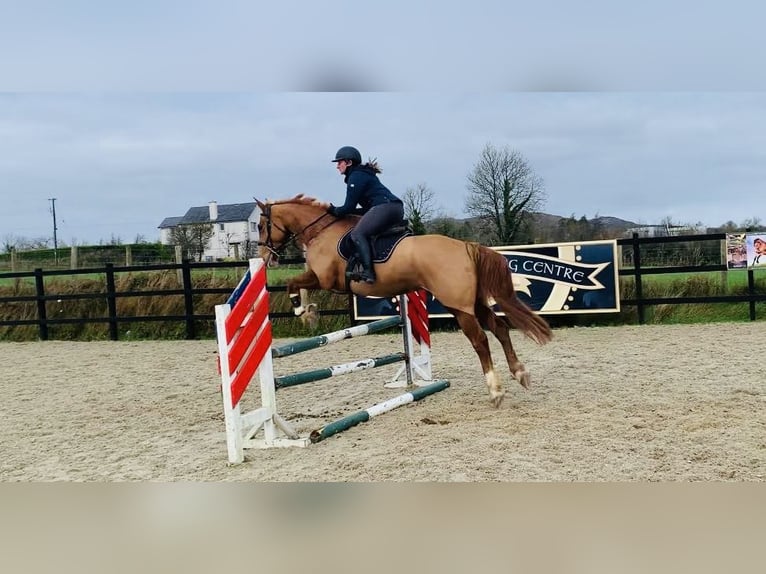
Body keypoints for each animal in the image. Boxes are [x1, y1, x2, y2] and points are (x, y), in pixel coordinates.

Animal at [258, 196, 552, 408]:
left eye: (261, 226)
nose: (265, 257)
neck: (320, 231)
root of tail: (467, 246)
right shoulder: (320, 278)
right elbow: (297, 282)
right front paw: (309, 313)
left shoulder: (325, 279)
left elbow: (292, 283)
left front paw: (301, 309)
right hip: (470, 303)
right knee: (499, 329)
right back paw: (520, 373)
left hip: (458, 306)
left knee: (480, 340)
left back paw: (495, 391)